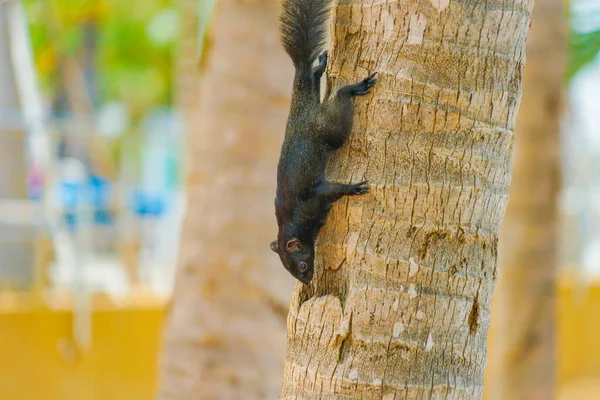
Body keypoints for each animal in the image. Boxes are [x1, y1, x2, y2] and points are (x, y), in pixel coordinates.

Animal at [270, 0, 378, 284]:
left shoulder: (312, 200)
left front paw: (354, 188)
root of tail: (303, 114)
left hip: (331, 128)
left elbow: (331, 189)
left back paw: (351, 88)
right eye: (289, 270)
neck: (291, 223)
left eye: (301, 265)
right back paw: (319, 65)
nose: (307, 281)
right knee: (310, 77)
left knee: (339, 97)